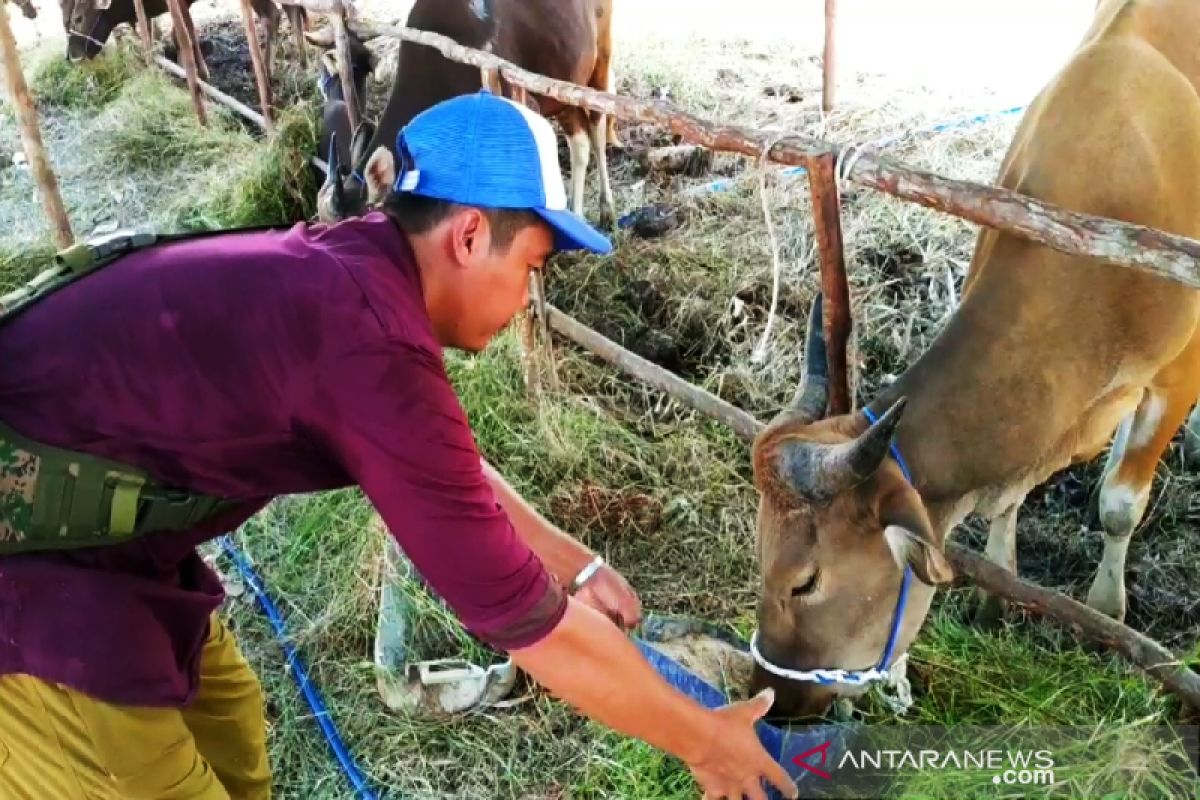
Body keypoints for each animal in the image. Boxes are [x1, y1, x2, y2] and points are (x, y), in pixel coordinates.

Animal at [748, 0, 1200, 724]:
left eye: (806, 581)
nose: (774, 700)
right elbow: (1007, 503)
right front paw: (996, 595)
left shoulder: (1174, 377)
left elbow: (1119, 505)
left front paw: (1107, 611)